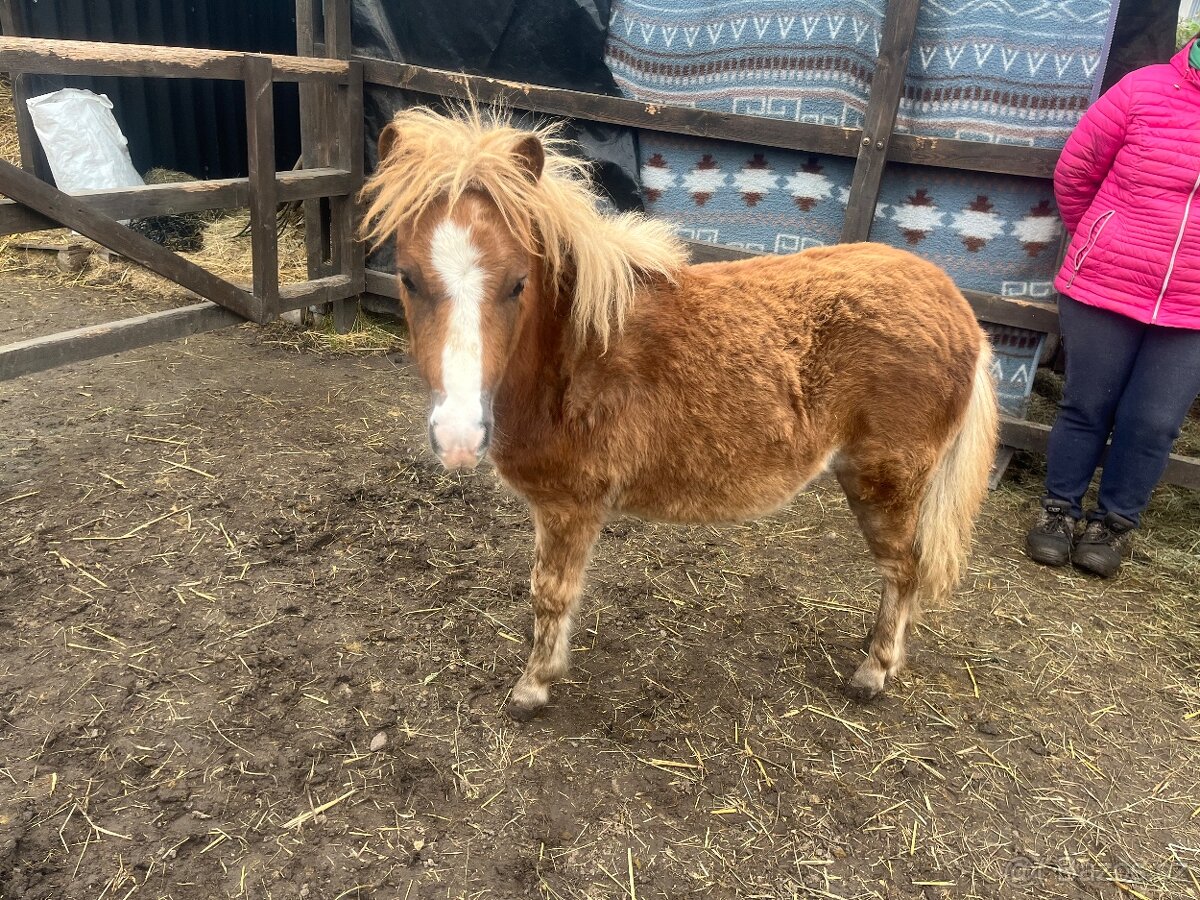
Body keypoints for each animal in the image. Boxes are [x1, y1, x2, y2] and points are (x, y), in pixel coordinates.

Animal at [360, 106, 999, 721]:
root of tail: (960, 309)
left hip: (887, 482)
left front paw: (533, 687)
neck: (574, 355)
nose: (459, 437)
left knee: (903, 569)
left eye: (518, 283)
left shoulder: (570, 505)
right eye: (408, 278)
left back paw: (873, 671)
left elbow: (551, 593)